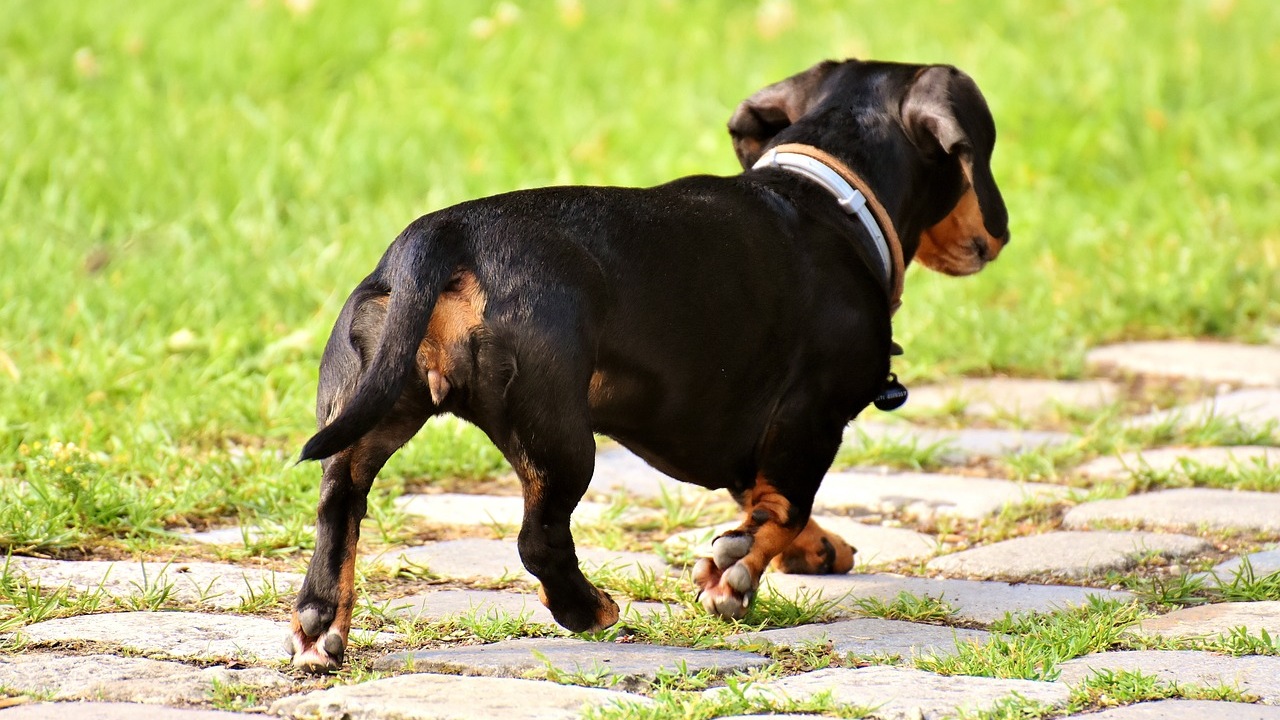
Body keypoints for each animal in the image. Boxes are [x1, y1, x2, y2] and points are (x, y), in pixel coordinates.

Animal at [288, 58, 1008, 671]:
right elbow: (783, 505)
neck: (827, 196)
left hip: (372, 406)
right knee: (539, 540)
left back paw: (320, 625)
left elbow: (761, 495)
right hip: (560, 439)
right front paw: (736, 576)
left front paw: (813, 547)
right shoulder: (813, 414)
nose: (994, 239)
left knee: (337, 502)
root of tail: (445, 235)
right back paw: (589, 609)